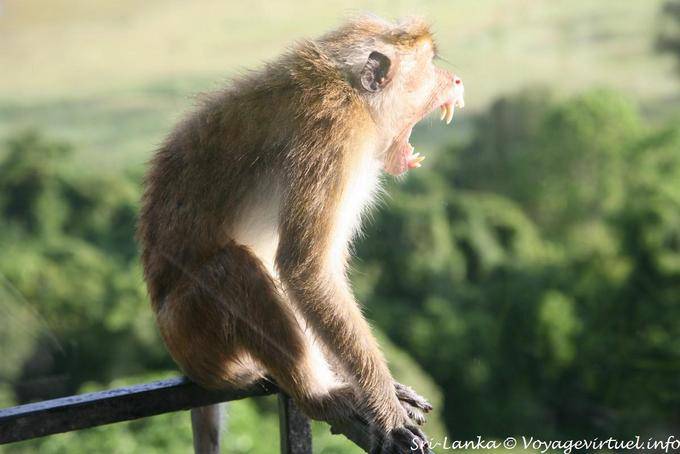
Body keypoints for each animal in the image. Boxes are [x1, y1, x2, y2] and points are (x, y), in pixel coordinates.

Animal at [137, 14, 464, 453]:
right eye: (429, 65)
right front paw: (387, 412)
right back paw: (318, 396)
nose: (456, 81)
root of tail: (181, 359)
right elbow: (307, 270)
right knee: (232, 269)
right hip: (197, 336)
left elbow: (317, 276)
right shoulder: (333, 137)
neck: (354, 94)